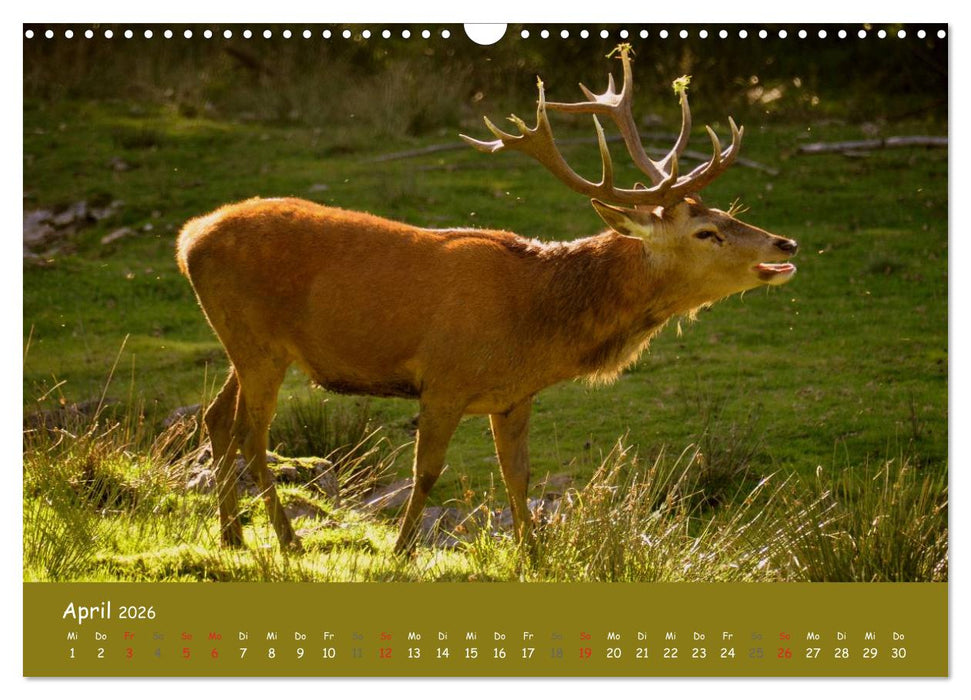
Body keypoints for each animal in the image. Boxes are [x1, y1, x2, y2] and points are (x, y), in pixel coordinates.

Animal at [176, 44, 797, 554]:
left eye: (728, 213)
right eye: (707, 232)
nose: (785, 243)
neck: (539, 322)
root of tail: (188, 238)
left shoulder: (513, 395)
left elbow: (517, 475)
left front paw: (533, 555)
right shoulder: (444, 379)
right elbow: (428, 471)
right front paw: (402, 550)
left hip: (247, 343)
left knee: (216, 419)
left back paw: (232, 535)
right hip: (255, 339)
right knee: (253, 435)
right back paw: (287, 541)